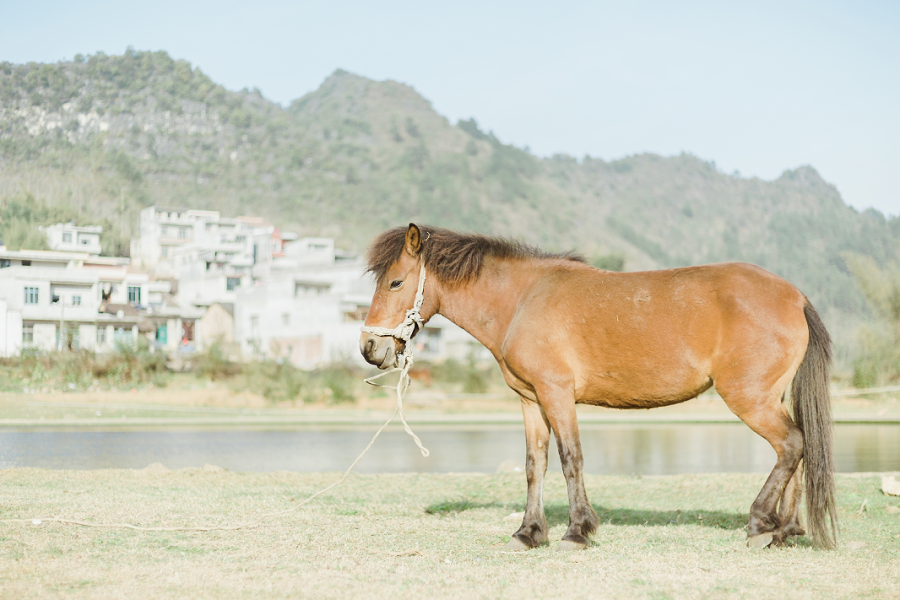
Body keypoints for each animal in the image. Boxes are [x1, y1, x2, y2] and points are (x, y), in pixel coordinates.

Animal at [356, 224, 836, 548]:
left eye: (396, 281)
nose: (368, 347)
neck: (522, 298)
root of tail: (794, 296)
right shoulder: (530, 400)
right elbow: (535, 465)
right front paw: (529, 532)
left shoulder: (556, 395)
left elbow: (571, 459)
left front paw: (577, 531)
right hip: (770, 398)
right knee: (797, 449)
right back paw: (786, 529)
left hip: (749, 399)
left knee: (791, 445)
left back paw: (760, 524)